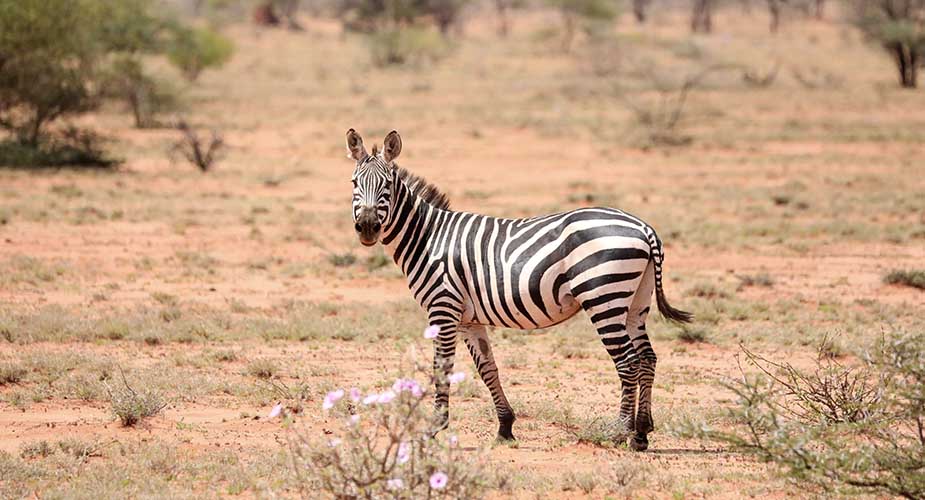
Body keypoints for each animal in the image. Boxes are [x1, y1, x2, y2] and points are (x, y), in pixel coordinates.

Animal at [342, 128, 688, 450]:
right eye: (354, 183)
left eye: (386, 185)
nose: (368, 227)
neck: (427, 238)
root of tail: (643, 227)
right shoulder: (468, 318)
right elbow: (488, 368)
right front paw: (505, 427)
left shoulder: (443, 308)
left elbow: (442, 367)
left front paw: (434, 427)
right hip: (635, 302)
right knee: (647, 358)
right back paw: (641, 432)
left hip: (604, 297)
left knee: (628, 362)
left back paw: (620, 431)